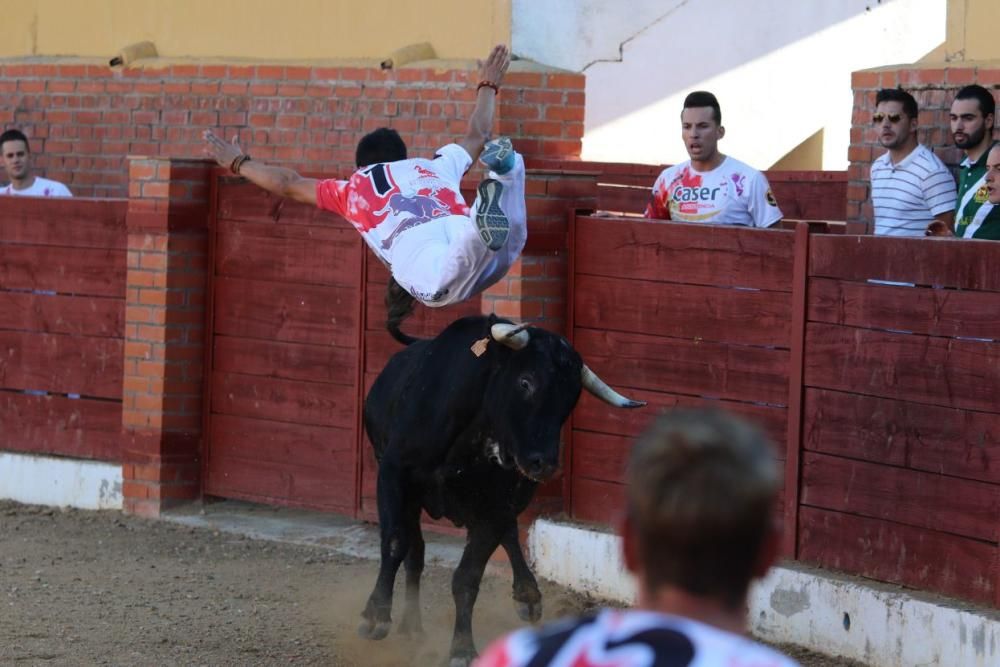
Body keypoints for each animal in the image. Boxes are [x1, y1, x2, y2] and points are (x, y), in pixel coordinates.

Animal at [360, 316, 640, 664]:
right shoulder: (393, 474)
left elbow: (468, 575)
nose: (544, 463)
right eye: (525, 382)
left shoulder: (496, 506)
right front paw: (376, 616)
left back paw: (527, 594)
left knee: (506, 534)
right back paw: (412, 627)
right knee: (416, 552)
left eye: (571, 397)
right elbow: (396, 543)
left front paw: (463, 649)